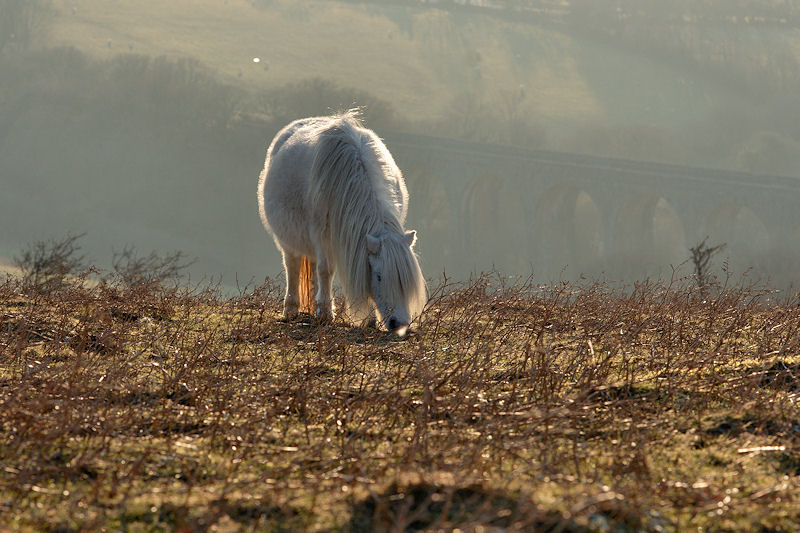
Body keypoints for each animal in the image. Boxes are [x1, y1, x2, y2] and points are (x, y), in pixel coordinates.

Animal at [260, 109, 428, 332]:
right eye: (379, 276)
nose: (398, 324)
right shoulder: (323, 237)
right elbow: (326, 271)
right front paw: (326, 314)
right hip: (290, 241)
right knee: (293, 267)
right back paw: (292, 310)